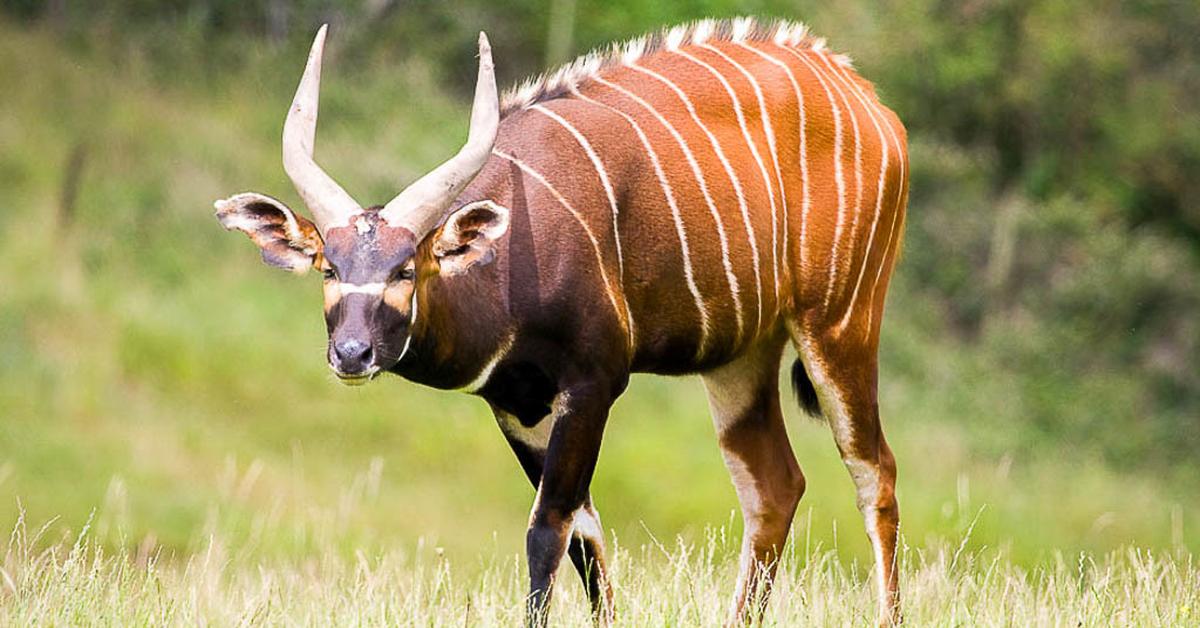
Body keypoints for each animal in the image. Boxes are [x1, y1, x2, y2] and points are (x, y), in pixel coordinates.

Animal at [216, 17, 907, 624]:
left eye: (406, 269)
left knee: (873, 471)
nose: (352, 353)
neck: (511, 252)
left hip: (841, 324)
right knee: (774, 486)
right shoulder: (518, 405)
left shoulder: (593, 382)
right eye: (330, 267)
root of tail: (873, 103)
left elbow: (549, 527)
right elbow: (585, 534)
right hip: (740, 356)